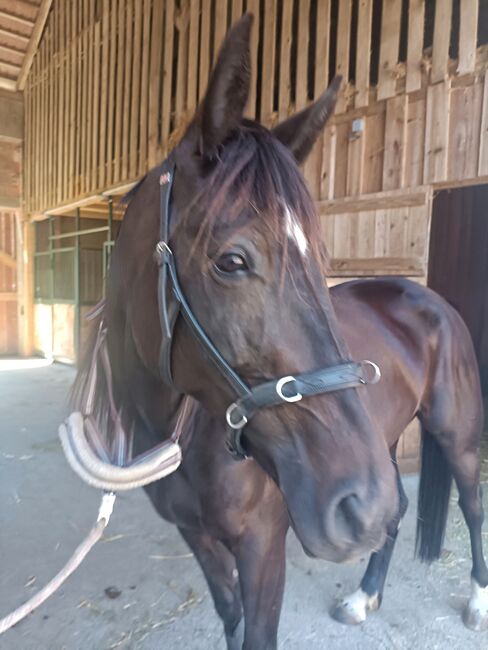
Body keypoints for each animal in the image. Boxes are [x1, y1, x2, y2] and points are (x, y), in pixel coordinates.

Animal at [72, 14, 487, 650]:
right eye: (231, 261)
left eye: (320, 254)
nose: (355, 505)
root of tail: (430, 298)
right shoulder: (202, 541)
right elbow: (232, 619)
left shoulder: (263, 545)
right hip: (385, 450)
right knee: (393, 516)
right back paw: (364, 595)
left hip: (453, 435)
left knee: (470, 503)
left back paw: (477, 601)